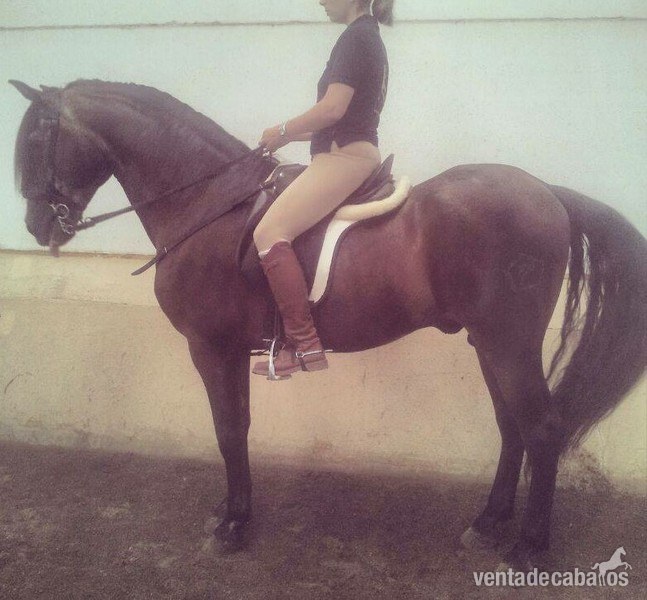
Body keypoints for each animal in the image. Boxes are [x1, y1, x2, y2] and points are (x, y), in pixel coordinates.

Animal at [10, 79, 647, 571]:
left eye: (36, 139)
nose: (39, 225)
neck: (208, 202)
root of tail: (549, 195)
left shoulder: (211, 348)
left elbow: (228, 430)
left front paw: (233, 526)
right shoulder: (230, 351)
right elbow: (237, 427)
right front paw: (231, 511)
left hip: (509, 343)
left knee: (542, 428)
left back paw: (530, 547)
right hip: (489, 343)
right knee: (511, 426)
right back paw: (489, 523)